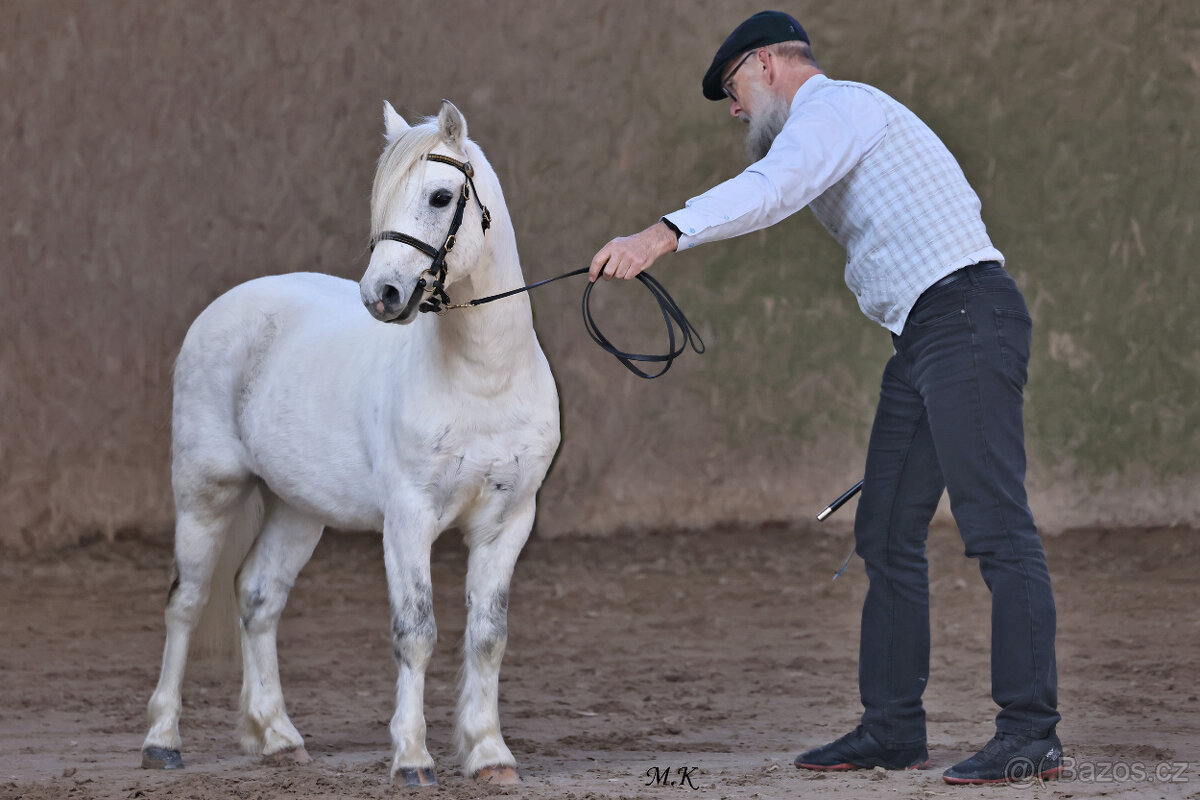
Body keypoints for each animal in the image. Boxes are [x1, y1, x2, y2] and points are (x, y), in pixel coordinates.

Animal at [140, 100, 561, 787]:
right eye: (381, 199)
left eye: (441, 196)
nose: (381, 295)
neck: (484, 379)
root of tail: (226, 307)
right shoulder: (409, 519)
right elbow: (416, 632)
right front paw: (412, 760)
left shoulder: (507, 522)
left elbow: (487, 635)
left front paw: (489, 754)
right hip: (206, 492)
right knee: (187, 601)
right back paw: (162, 741)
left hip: (297, 509)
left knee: (257, 597)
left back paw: (278, 738)